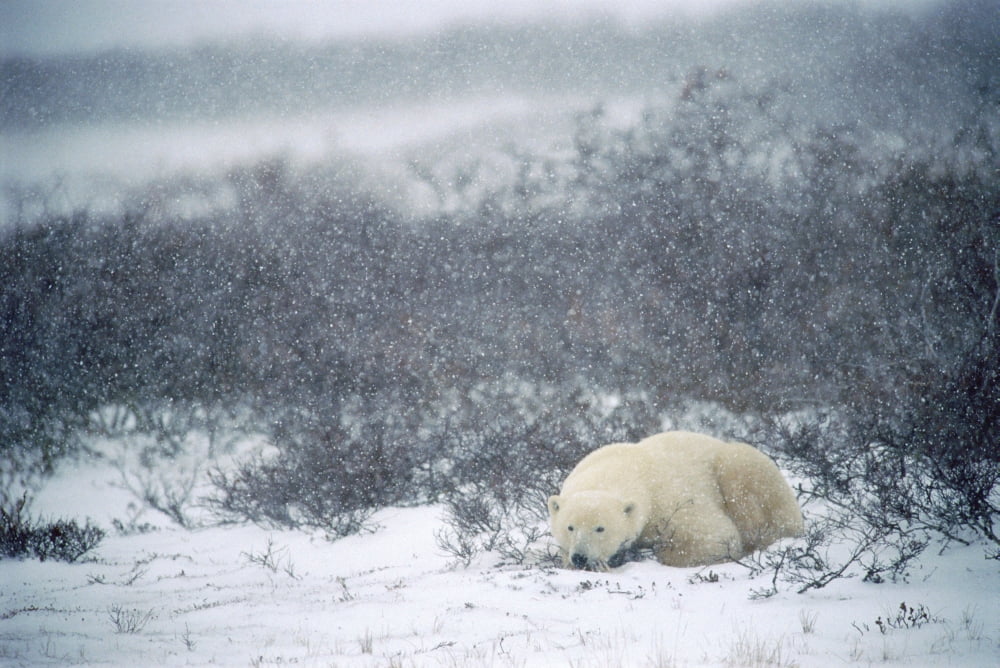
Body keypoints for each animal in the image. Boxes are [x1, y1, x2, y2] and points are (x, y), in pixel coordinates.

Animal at [548, 431, 804, 570]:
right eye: (570, 527)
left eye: (600, 528)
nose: (580, 557)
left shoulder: (669, 502)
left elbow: (717, 537)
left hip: (742, 470)